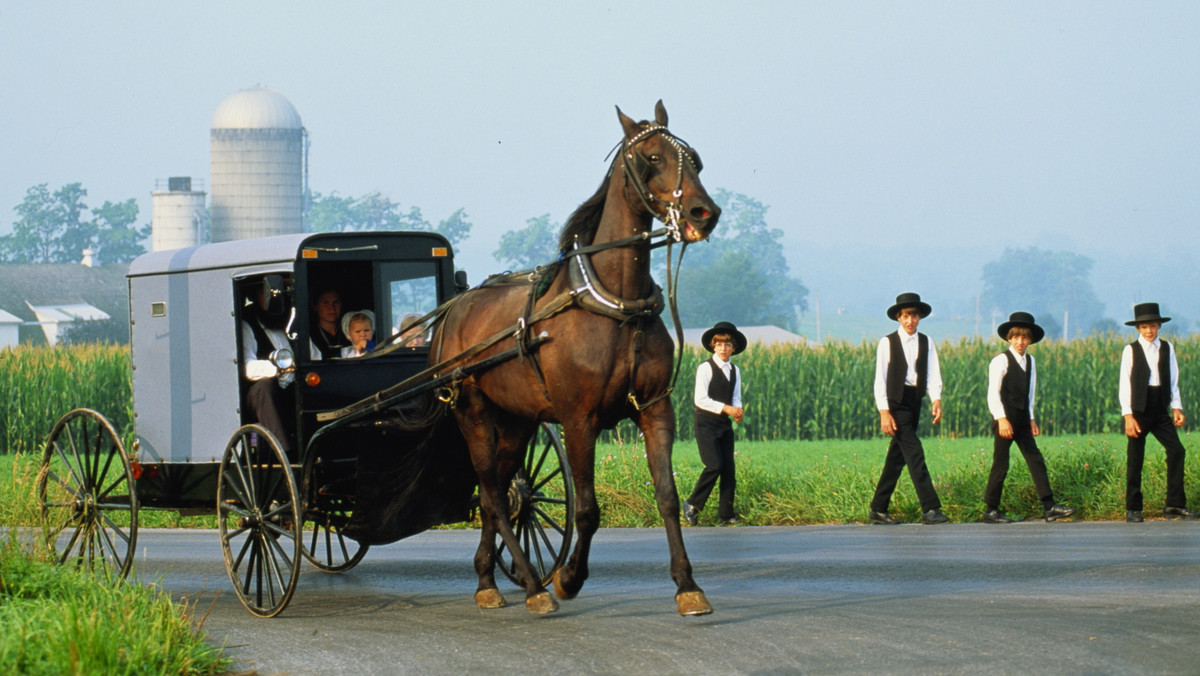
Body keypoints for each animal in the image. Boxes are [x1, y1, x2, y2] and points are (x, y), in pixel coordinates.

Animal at [436, 102, 724, 619]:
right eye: (652, 156)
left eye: (694, 159)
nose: (703, 212)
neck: (616, 306)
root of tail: (454, 309)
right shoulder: (578, 418)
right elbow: (588, 509)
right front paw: (568, 578)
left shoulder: (656, 409)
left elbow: (668, 497)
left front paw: (687, 585)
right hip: (472, 411)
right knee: (492, 492)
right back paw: (534, 586)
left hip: (517, 420)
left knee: (499, 495)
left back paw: (488, 579)